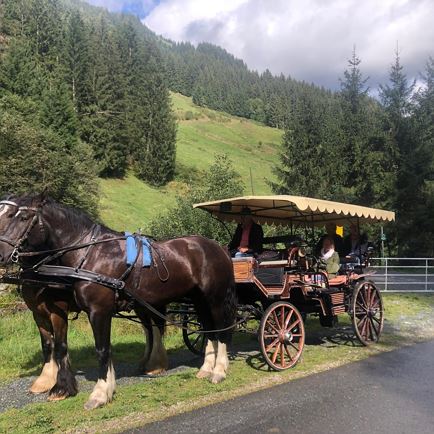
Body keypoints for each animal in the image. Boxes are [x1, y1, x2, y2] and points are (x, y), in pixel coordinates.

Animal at [0, 193, 237, 410]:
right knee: (207, 330)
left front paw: (98, 394)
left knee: (222, 330)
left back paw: (219, 371)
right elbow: (70, 346)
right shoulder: (50, 312)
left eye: (22, 217)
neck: (90, 253)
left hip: (215, 300)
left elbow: (100, 350)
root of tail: (218, 247)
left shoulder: (94, 311)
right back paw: (205, 368)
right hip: (198, 301)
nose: (1, 254)